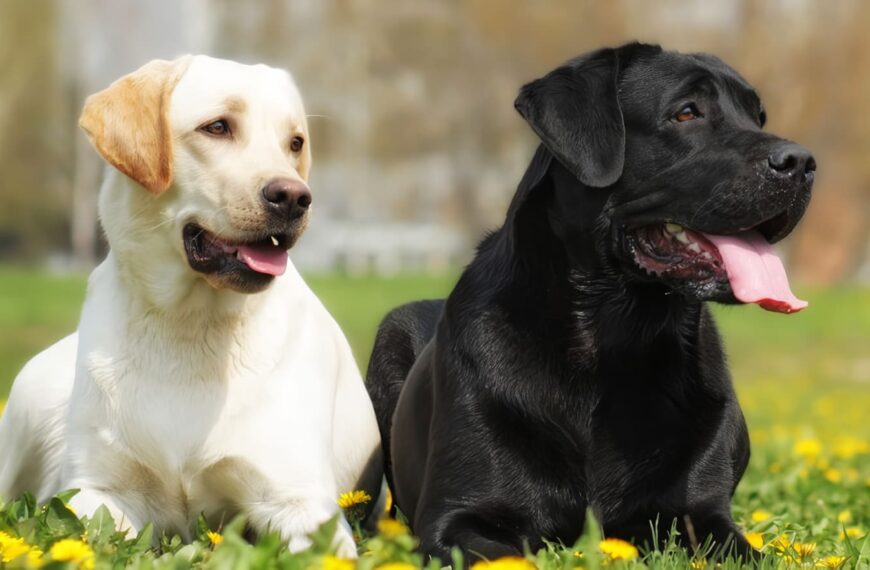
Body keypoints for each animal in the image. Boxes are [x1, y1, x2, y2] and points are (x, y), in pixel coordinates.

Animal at [0, 54, 382, 556]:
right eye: (217, 127)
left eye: (295, 143)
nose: (295, 197)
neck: (187, 326)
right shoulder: (98, 491)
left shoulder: (298, 501)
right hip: (29, 397)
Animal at [368, 43, 816, 560]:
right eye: (687, 112)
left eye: (757, 116)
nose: (803, 162)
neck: (612, 339)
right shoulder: (454, 520)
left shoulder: (703, 516)